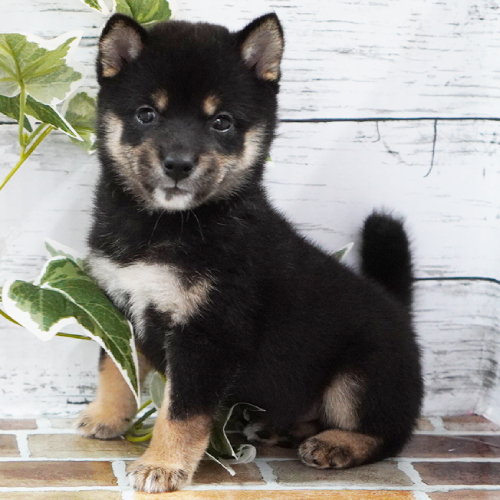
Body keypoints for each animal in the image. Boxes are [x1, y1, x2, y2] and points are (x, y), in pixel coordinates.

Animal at [76, 10, 424, 492]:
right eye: (147, 114)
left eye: (221, 121)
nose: (178, 165)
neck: (168, 225)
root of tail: (400, 311)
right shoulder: (119, 308)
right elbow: (115, 370)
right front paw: (108, 417)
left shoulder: (207, 335)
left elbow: (181, 413)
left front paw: (162, 465)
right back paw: (284, 428)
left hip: (359, 377)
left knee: (388, 433)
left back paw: (336, 444)